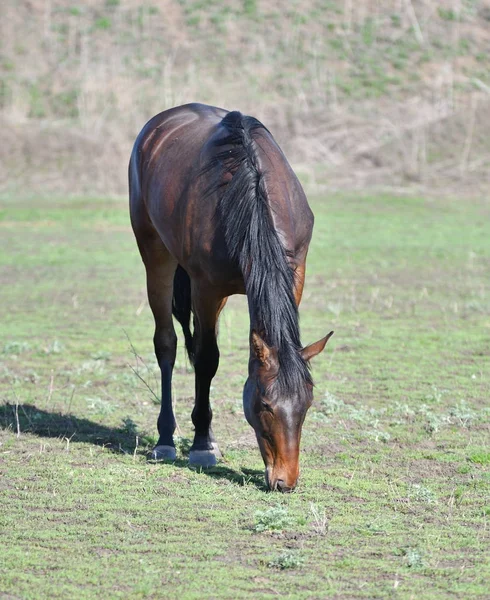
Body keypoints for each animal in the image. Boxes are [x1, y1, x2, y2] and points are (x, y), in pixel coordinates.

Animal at [129, 103, 334, 490]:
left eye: (306, 404)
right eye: (266, 406)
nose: (285, 481)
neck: (250, 194)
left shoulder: (294, 274)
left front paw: (206, 439)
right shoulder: (205, 287)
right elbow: (207, 359)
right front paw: (199, 447)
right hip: (156, 255)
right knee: (167, 344)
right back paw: (166, 440)